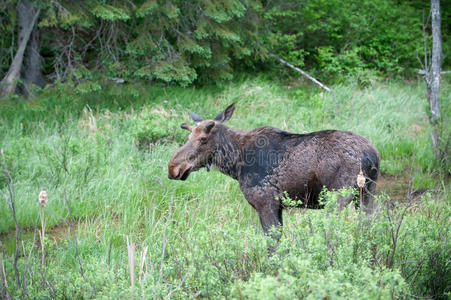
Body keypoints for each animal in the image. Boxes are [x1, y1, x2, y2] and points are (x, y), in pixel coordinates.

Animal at [168, 104, 380, 238]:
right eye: (188, 137)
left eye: (203, 139)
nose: (173, 167)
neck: (235, 164)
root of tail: (371, 156)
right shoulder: (278, 207)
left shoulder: (266, 202)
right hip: (367, 193)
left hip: (338, 196)